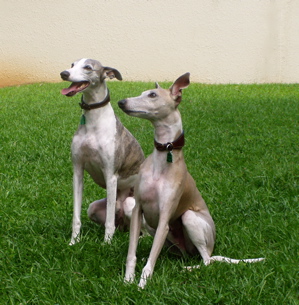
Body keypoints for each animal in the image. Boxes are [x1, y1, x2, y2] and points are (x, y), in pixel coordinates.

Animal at [60, 59, 145, 243]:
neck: (93, 120)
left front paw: (107, 243)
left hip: (131, 204)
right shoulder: (77, 171)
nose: (64, 73)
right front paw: (74, 241)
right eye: (72, 64)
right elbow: (76, 216)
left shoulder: (110, 175)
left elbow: (109, 222)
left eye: (88, 67)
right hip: (93, 208)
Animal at [117, 72, 264, 286]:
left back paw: (188, 269)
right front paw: (128, 279)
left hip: (190, 218)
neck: (163, 157)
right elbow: (132, 253)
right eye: (143, 92)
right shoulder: (138, 210)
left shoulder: (164, 218)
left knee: (207, 261)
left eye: (152, 95)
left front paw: (142, 284)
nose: (121, 102)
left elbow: (149, 264)